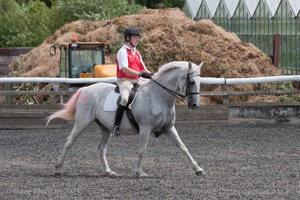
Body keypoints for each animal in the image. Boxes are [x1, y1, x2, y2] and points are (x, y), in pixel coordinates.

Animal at [46, 60, 204, 177]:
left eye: (199, 82)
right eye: (191, 82)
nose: (195, 105)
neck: (158, 97)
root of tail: (85, 89)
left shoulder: (169, 128)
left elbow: (183, 147)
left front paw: (198, 169)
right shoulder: (145, 129)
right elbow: (142, 150)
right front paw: (139, 172)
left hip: (105, 128)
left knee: (101, 148)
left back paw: (108, 172)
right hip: (82, 123)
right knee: (69, 142)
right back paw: (58, 169)